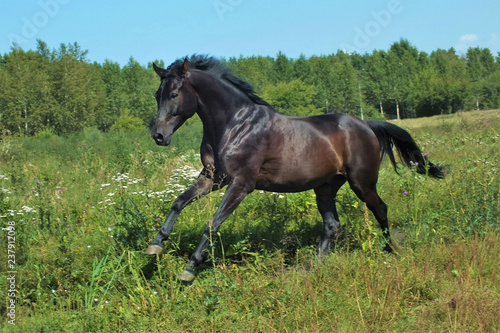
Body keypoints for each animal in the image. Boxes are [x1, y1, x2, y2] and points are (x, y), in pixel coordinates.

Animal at [146, 54, 446, 280]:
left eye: (174, 94)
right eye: (157, 94)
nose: (158, 136)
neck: (235, 124)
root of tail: (367, 125)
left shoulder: (241, 183)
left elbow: (213, 223)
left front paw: (188, 270)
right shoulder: (212, 178)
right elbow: (178, 201)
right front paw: (155, 246)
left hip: (362, 182)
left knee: (380, 209)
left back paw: (390, 250)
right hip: (325, 187)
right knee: (332, 225)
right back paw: (315, 266)